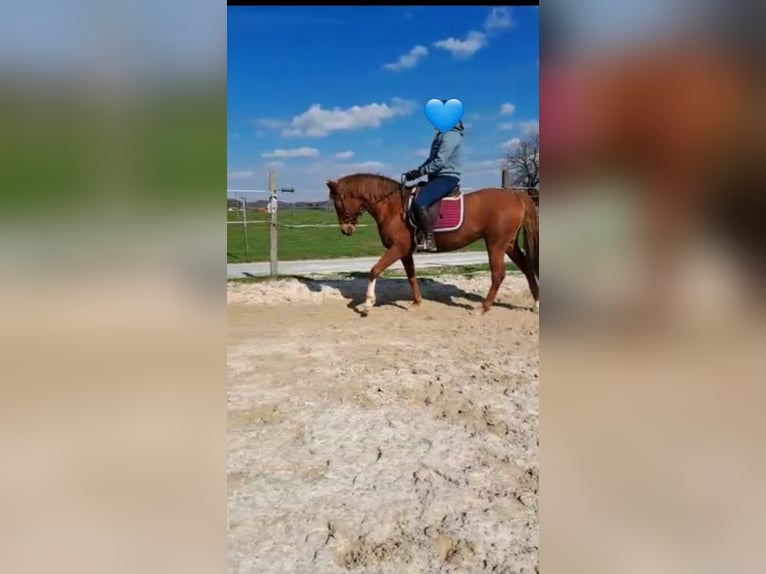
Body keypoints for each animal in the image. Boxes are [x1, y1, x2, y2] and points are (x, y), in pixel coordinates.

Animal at [326, 176, 540, 320]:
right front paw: (416, 303)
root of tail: (515, 194)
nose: (346, 230)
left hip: (495, 243)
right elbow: (411, 276)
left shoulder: (397, 248)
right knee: (527, 269)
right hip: (509, 245)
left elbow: (374, 270)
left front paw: (367, 304)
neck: (393, 207)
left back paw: (484, 307)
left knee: (498, 274)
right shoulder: (405, 252)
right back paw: (536, 304)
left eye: (337, 203)